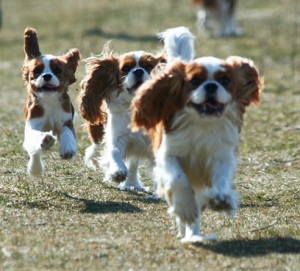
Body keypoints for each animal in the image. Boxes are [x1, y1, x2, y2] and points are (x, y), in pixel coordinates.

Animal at [21, 27, 81, 176]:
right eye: (37, 71)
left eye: (58, 70)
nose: (47, 75)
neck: (49, 100)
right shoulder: (33, 124)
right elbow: (35, 137)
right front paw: (46, 140)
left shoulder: (66, 120)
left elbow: (67, 133)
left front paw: (67, 150)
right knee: (34, 152)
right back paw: (35, 169)